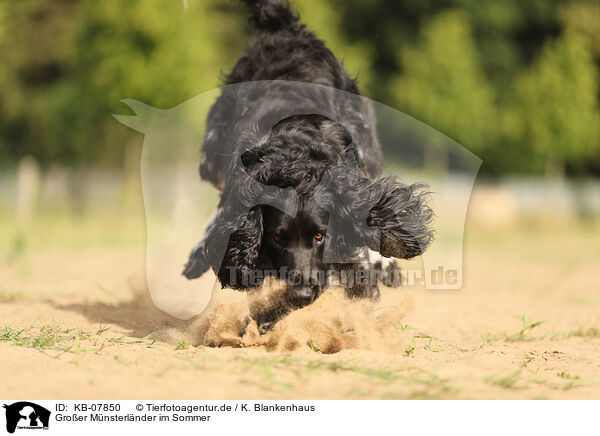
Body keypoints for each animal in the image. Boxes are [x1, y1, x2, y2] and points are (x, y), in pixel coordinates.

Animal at [183, 0, 432, 328]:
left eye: (319, 236)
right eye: (276, 238)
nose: (301, 294)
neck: (295, 165)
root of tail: (284, 29)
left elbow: (361, 274)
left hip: (367, 145)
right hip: (211, 154)